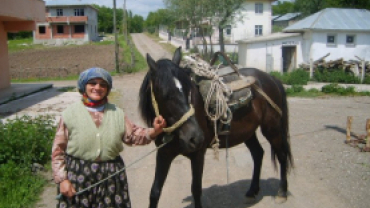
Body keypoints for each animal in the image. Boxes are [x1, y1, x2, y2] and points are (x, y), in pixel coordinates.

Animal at [139, 47, 292, 208]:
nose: (195, 137)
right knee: (258, 154)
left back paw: (281, 192)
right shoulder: (164, 154)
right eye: (165, 94)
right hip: (249, 133)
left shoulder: (198, 154)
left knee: (282, 155)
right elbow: (155, 192)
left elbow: (196, 190)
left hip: (272, 128)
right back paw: (252, 191)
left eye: (188, 90)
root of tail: (271, 78)